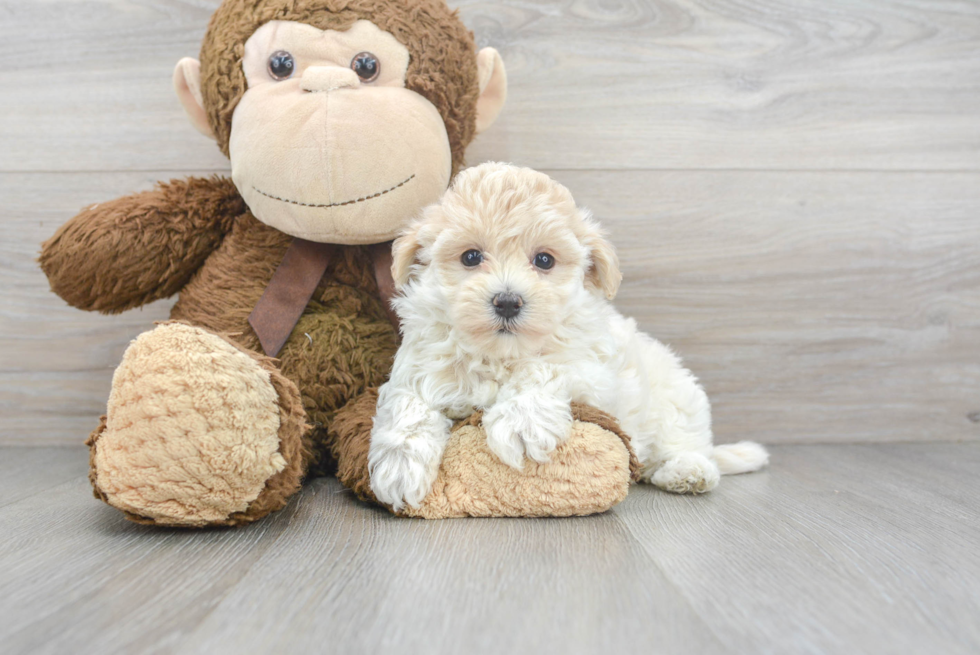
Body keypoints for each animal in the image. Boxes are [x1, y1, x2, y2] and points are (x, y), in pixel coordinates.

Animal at [368, 161, 764, 510]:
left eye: (544, 260)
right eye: (470, 257)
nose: (507, 302)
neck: (501, 354)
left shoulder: (594, 371)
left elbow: (545, 368)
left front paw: (521, 421)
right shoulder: (418, 367)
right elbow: (408, 401)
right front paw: (399, 466)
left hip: (677, 400)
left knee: (684, 442)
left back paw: (688, 471)